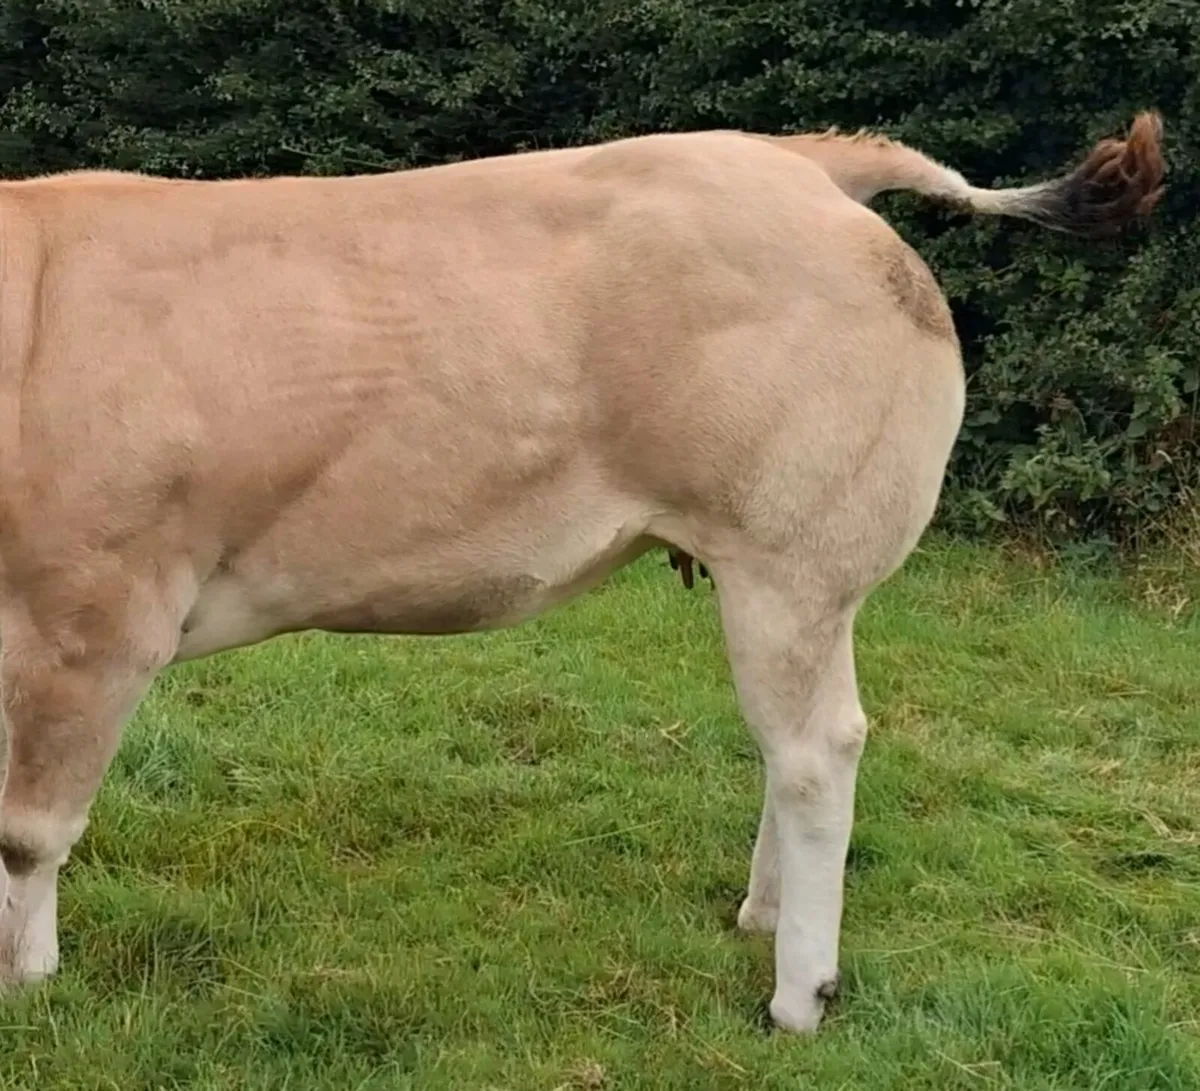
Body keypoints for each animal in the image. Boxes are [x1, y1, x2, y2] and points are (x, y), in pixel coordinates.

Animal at [0, 112, 1164, 1033]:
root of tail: (797, 161)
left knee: (814, 752)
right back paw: (763, 915)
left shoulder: (93, 608)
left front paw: (25, 980)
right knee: (790, 744)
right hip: (795, 579)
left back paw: (798, 994)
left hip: (792, 558)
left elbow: (28, 831)